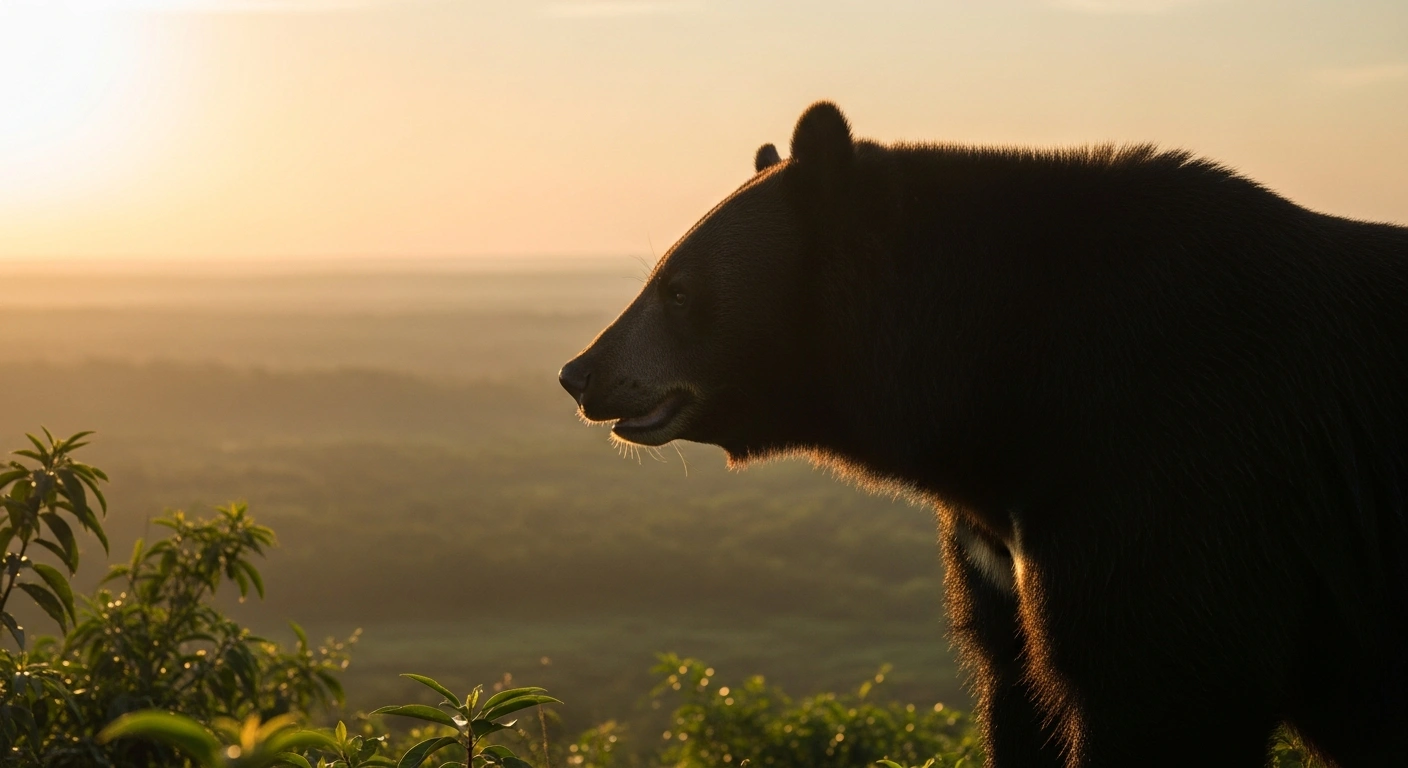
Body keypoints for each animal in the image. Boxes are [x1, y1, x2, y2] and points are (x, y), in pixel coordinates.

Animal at [558, 102, 1408, 767]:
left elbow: (1163, 684)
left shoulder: (1180, 470)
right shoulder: (998, 541)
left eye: (676, 288)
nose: (580, 372)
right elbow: (1017, 685)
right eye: (656, 275)